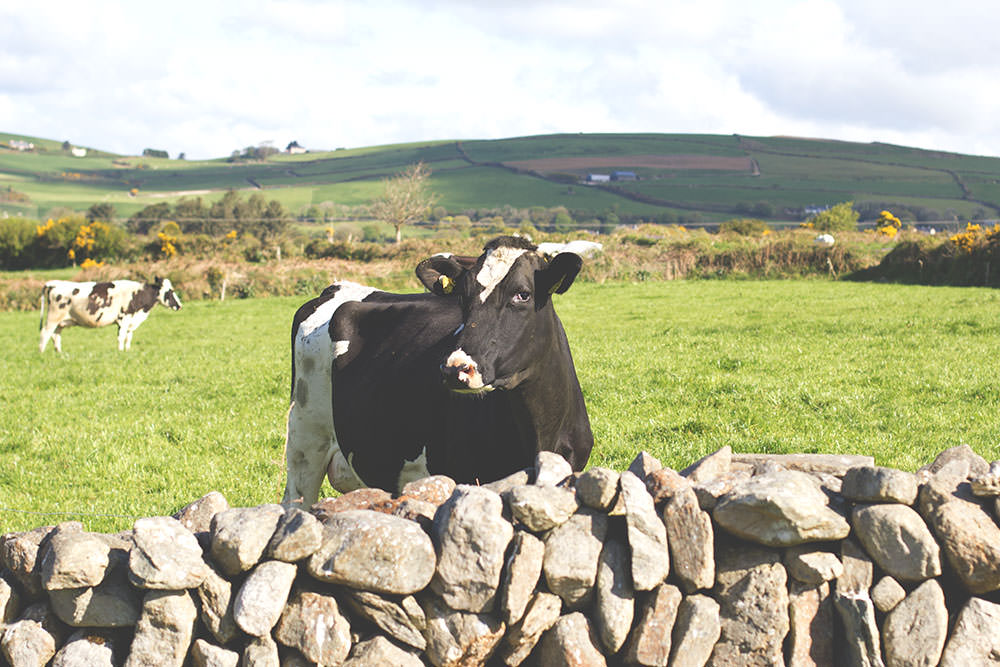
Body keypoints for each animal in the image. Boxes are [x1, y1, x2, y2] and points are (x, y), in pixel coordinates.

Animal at [38, 278, 182, 354]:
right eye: (170, 292)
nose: (180, 305)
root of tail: (54, 283)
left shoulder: (130, 321)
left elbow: (128, 338)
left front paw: (127, 350)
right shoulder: (124, 319)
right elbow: (121, 337)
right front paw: (120, 351)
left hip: (60, 322)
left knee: (55, 336)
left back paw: (59, 353)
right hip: (53, 317)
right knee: (45, 333)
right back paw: (42, 353)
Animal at [282, 237, 592, 504]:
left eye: (523, 294)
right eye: (463, 296)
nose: (455, 369)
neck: (539, 432)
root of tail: (336, 288)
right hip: (305, 442)